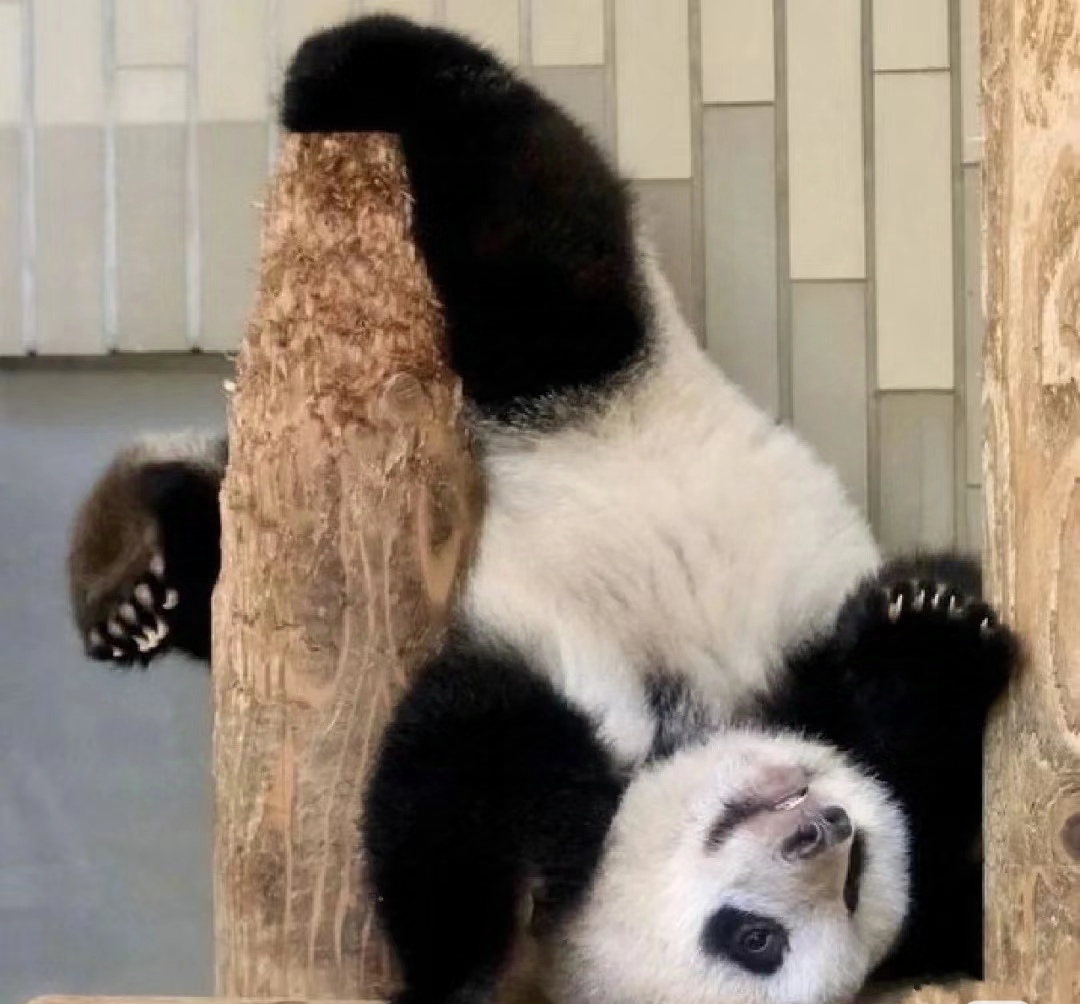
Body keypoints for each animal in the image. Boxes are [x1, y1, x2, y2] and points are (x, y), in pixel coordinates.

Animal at [66, 15, 1019, 1004]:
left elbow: (464, 758)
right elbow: (461, 802)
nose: (822, 829)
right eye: (754, 937)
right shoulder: (748, 697)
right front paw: (928, 625)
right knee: (530, 231)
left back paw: (144, 578)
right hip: (591, 387)